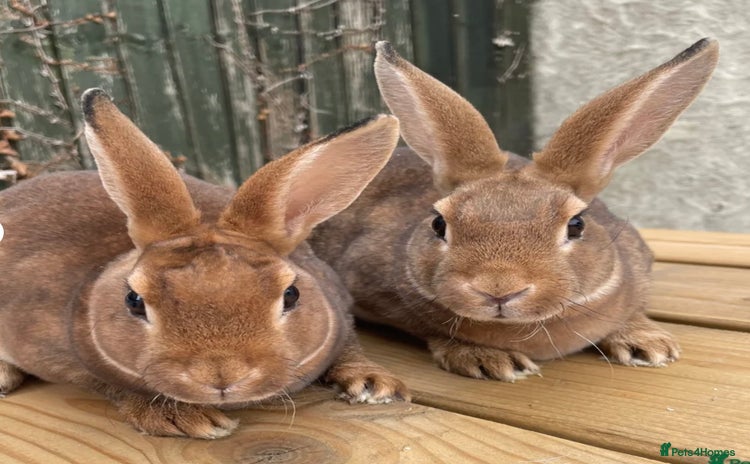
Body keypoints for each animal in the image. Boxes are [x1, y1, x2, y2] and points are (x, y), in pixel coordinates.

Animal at [0, 88, 409, 439]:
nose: (221, 376)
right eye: (133, 301)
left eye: (291, 294)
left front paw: (374, 383)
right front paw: (182, 418)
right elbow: (105, 383)